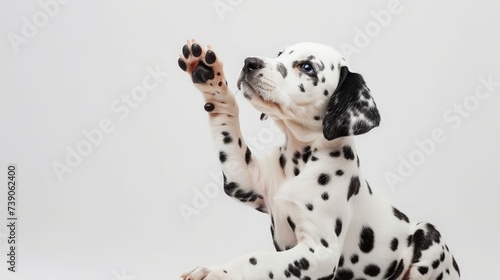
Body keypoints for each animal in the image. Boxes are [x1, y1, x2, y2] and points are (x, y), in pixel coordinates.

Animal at [177, 40, 460, 280]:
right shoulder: (244, 180)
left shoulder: (320, 251)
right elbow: (228, 126)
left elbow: (257, 259)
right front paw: (209, 76)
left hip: (429, 235)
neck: (299, 161)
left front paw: (217, 272)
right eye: (280, 54)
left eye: (306, 67)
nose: (250, 63)